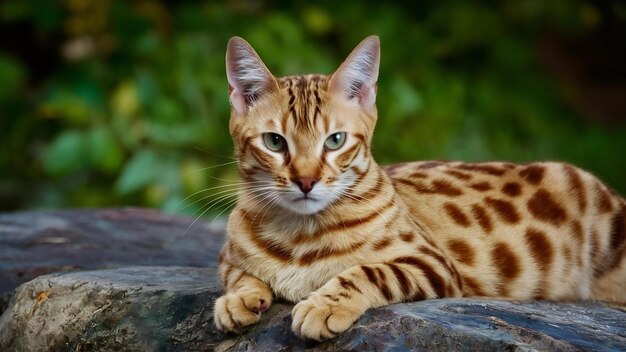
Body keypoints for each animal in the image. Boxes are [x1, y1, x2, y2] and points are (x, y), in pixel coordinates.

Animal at [211, 35, 624, 340]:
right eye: (275, 142)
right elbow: (238, 275)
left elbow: (368, 271)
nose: (306, 181)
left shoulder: (432, 263)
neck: (298, 236)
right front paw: (239, 299)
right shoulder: (228, 257)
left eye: (335, 140)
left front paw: (324, 305)